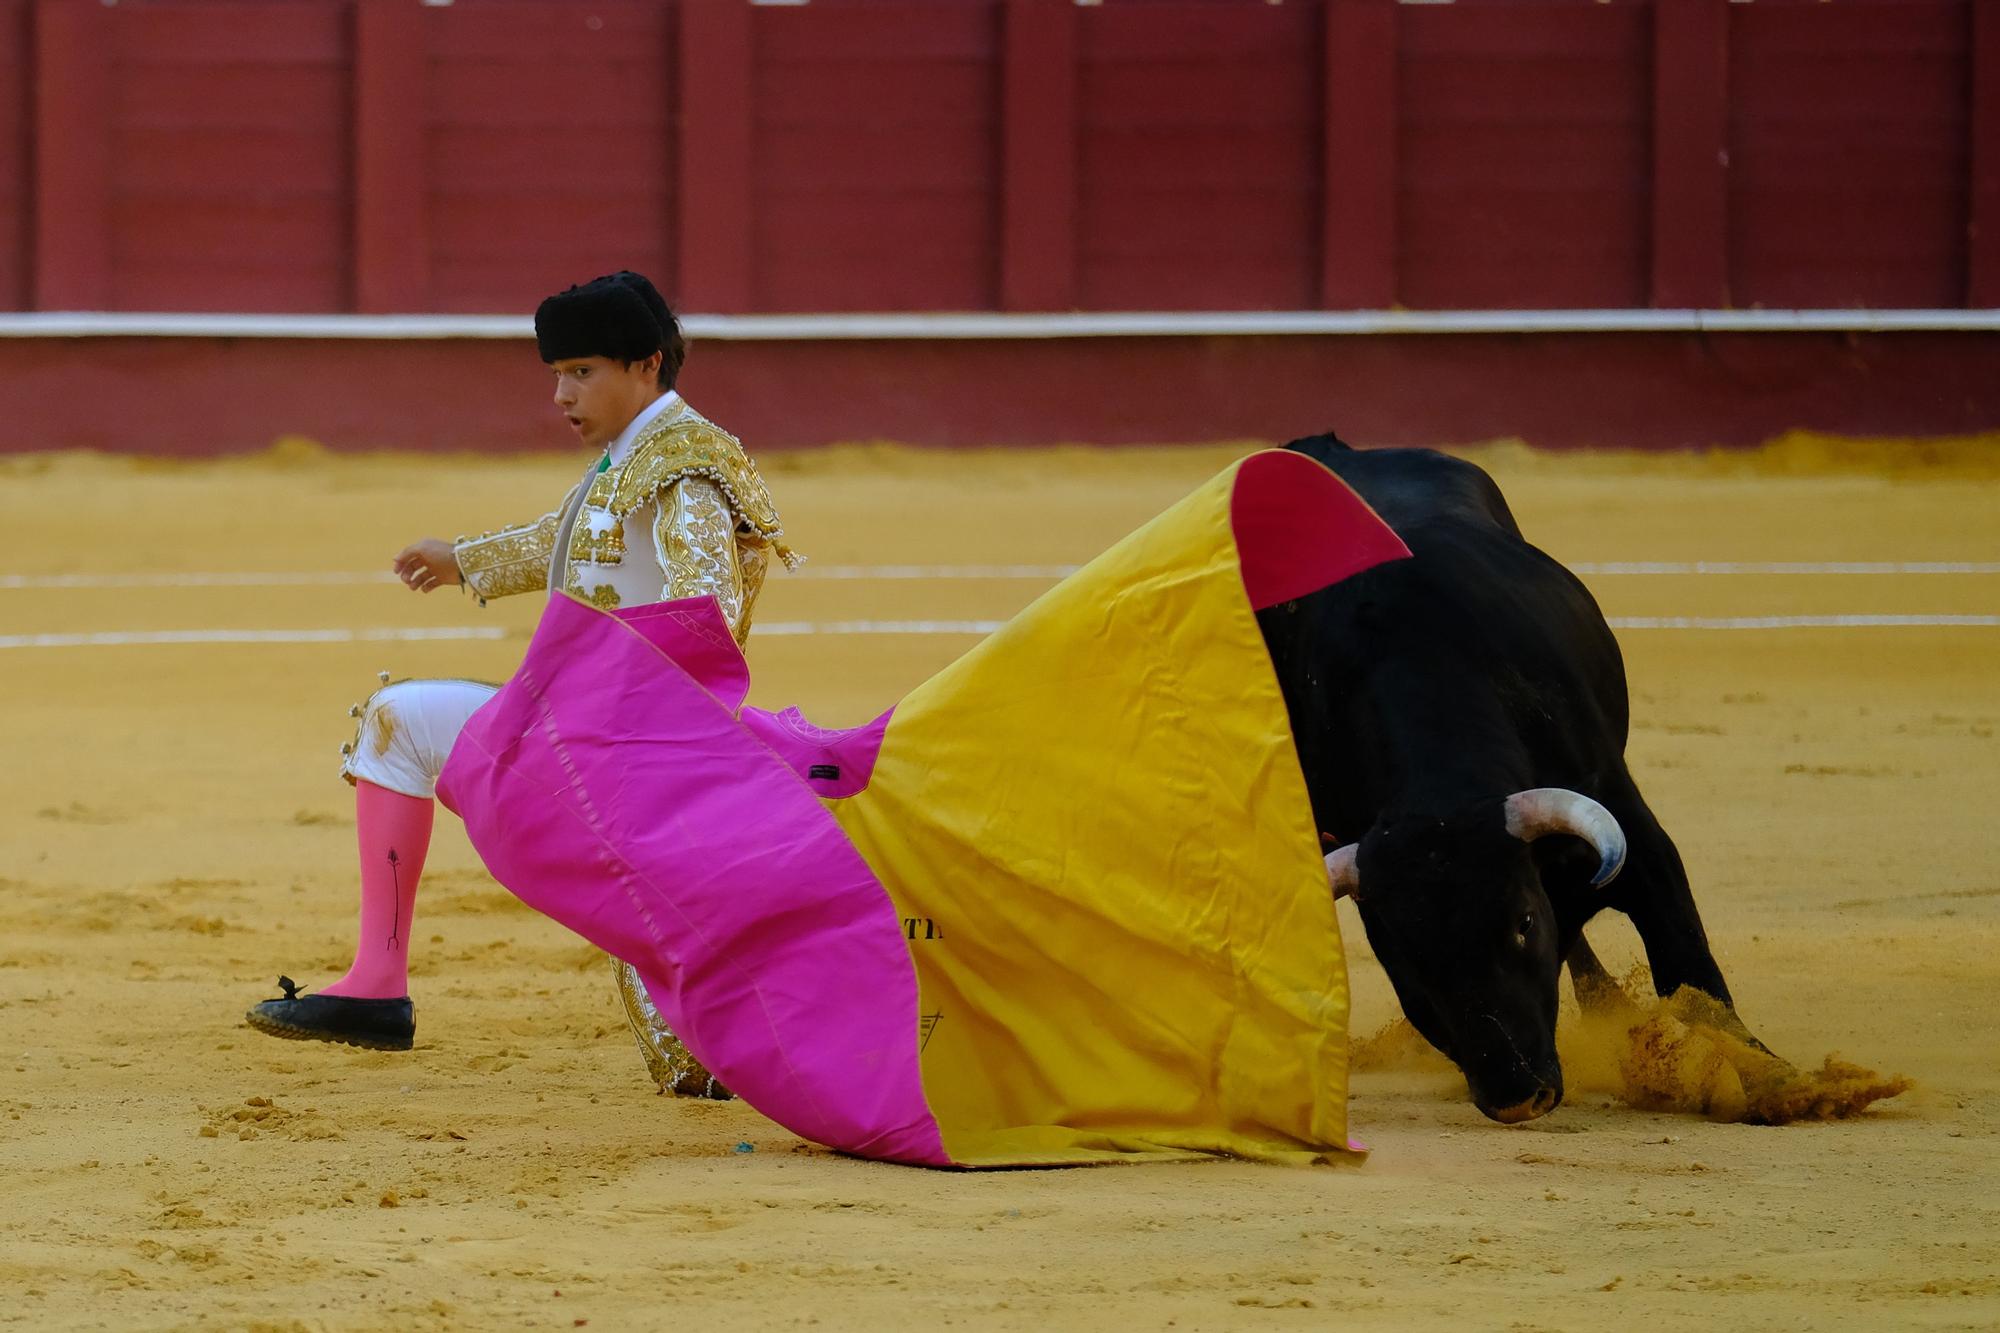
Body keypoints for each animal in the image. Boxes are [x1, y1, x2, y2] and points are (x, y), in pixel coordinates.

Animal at [1264, 436, 1752, 1120]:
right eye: (1407, 953)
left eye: (1522, 922)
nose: (1519, 1096)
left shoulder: (1634, 833)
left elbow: (1692, 973)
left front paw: (1783, 1088)